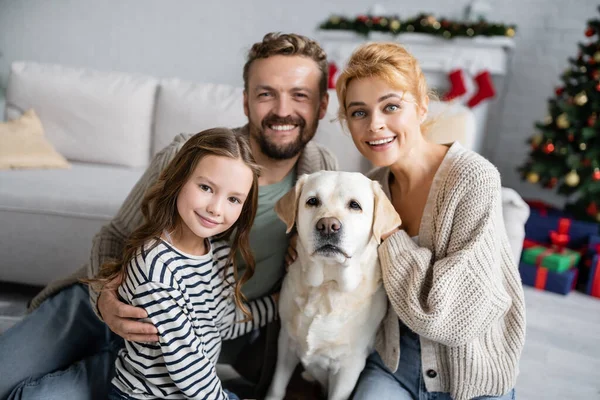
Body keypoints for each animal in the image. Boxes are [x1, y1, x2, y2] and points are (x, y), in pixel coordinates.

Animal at [264, 170, 400, 400]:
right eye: (312, 201)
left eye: (355, 205)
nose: (328, 225)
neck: (325, 286)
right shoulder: (286, 344)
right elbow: (276, 388)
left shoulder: (348, 368)